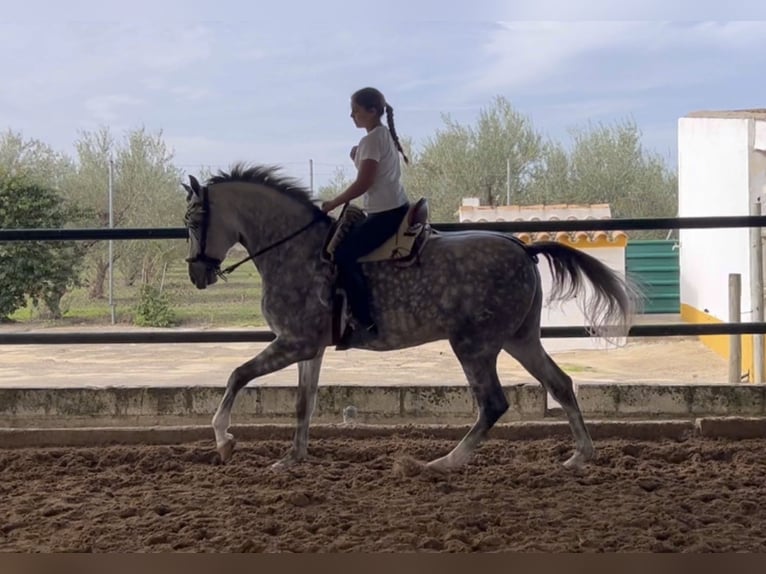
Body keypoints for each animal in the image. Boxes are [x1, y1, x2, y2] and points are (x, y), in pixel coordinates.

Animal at [183, 162, 640, 472]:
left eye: (194, 220)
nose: (197, 274)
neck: (295, 249)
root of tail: (524, 248)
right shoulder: (309, 348)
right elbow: (302, 403)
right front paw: (292, 458)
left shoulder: (293, 342)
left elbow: (237, 375)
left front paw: (224, 440)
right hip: (520, 339)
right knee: (560, 384)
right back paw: (581, 455)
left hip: (475, 345)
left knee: (493, 403)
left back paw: (443, 463)